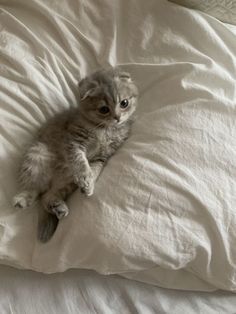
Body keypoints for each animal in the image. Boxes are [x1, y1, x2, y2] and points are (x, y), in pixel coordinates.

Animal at [12, 67, 138, 242]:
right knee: (35, 189)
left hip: (67, 183)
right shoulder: (73, 143)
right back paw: (23, 199)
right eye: (104, 109)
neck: (104, 129)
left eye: (124, 103)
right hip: (37, 155)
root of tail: (51, 181)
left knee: (46, 197)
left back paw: (59, 207)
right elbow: (80, 162)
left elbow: (95, 169)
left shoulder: (102, 157)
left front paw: (89, 184)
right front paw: (85, 178)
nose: (118, 118)